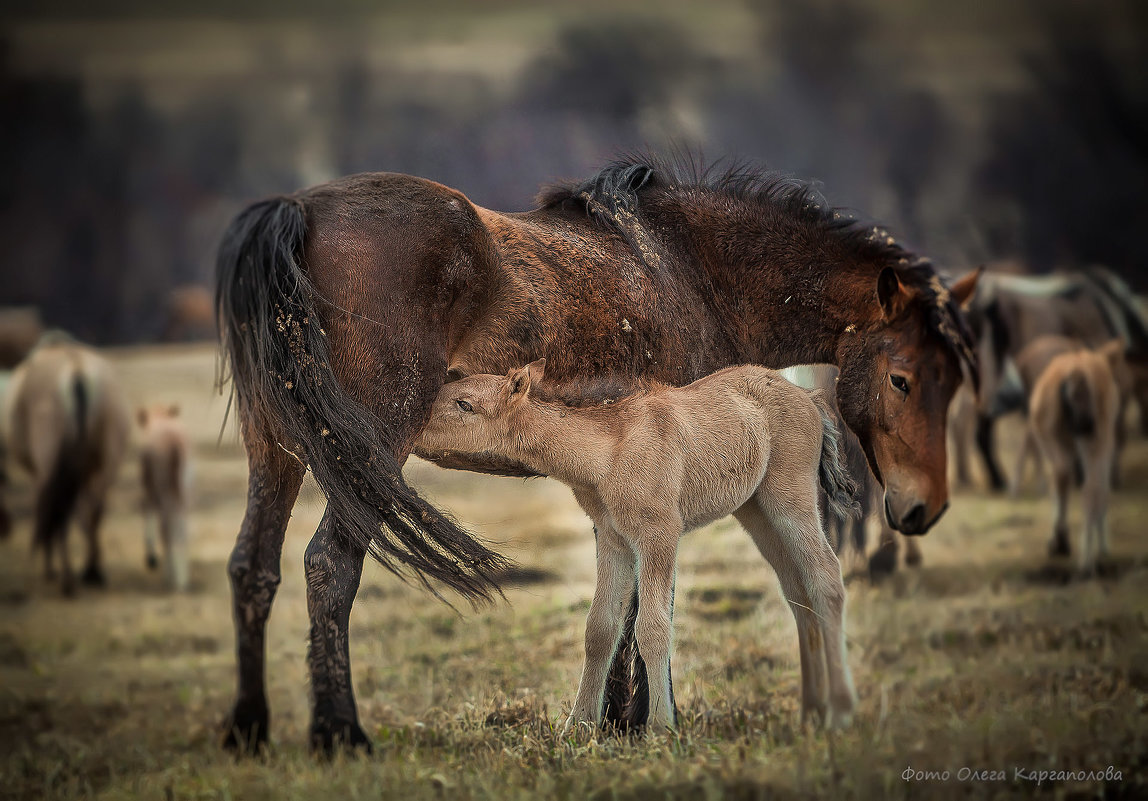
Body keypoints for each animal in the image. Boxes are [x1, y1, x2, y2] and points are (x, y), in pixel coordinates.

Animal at [138, 401, 192, 587]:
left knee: (166, 526)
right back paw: (181, 577)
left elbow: (147, 510)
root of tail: (174, 443)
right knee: (181, 527)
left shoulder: (147, 485)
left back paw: (172, 577)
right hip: (184, 488)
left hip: (164, 487)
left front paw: (151, 558)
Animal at [417, 358, 858, 734]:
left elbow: (652, 627)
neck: (609, 453)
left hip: (791, 497)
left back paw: (839, 712)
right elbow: (599, 629)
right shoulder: (614, 540)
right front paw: (578, 724)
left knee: (826, 577)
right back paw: (810, 712)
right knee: (797, 591)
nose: (416, 432)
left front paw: (661, 726)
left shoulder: (658, 534)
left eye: (464, 403)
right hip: (756, 509)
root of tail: (810, 399)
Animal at [1033, 339, 1120, 571]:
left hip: (1066, 438)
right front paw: (1104, 546)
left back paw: (1069, 549)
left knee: (1066, 476)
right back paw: (1087, 560)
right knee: (1091, 487)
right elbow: (1104, 486)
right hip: (1095, 438)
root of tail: (1077, 375)